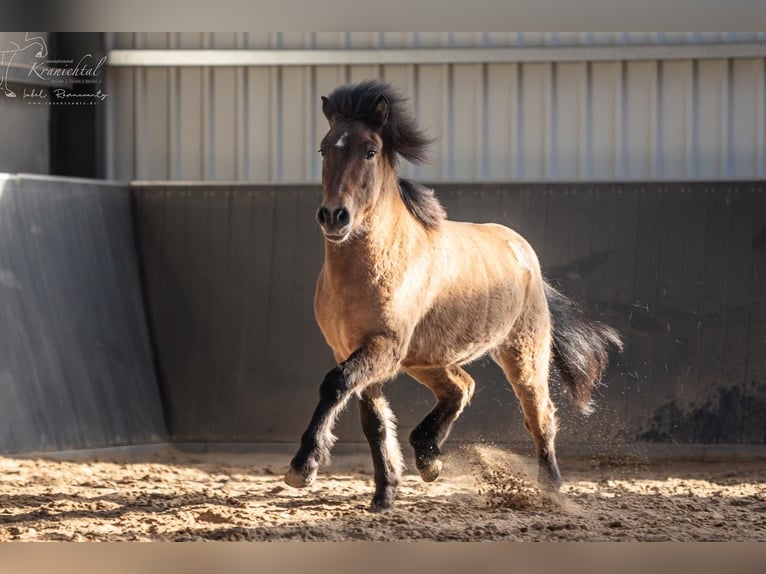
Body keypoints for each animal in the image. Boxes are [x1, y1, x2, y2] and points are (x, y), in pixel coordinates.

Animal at [284, 80, 622, 511]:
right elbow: (373, 422)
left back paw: (552, 489)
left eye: (370, 150)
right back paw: (428, 456)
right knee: (462, 386)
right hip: (426, 359)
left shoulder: (382, 347)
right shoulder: (355, 349)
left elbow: (335, 384)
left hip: (522, 353)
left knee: (539, 415)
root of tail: (522, 250)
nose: (333, 216)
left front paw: (303, 466)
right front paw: (384, 494)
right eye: (325, 148)